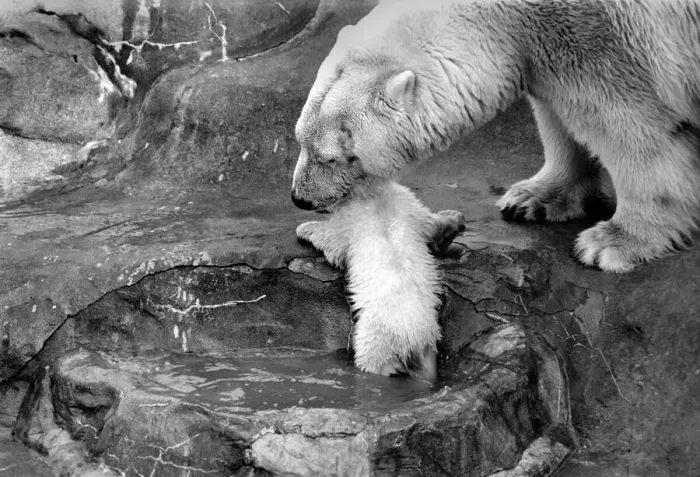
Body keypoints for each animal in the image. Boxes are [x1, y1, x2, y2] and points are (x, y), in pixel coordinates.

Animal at [290, 0, 700, 273]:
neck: (513, 11)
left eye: (333, 156)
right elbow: (559, 116)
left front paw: (613, 241)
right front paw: (532, 197)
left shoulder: (606, 38)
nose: (299, 198)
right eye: (299, 139)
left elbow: (630, 128)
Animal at [295, 177, 466, 381]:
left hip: (376, 339)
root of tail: (412, 339)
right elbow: (429, 223)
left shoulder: (351, 219)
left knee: (373, 361)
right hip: (430, 336)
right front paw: (454, 217)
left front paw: (304, 228)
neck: (372, 194)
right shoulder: (407, 206)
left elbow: (333, 240)